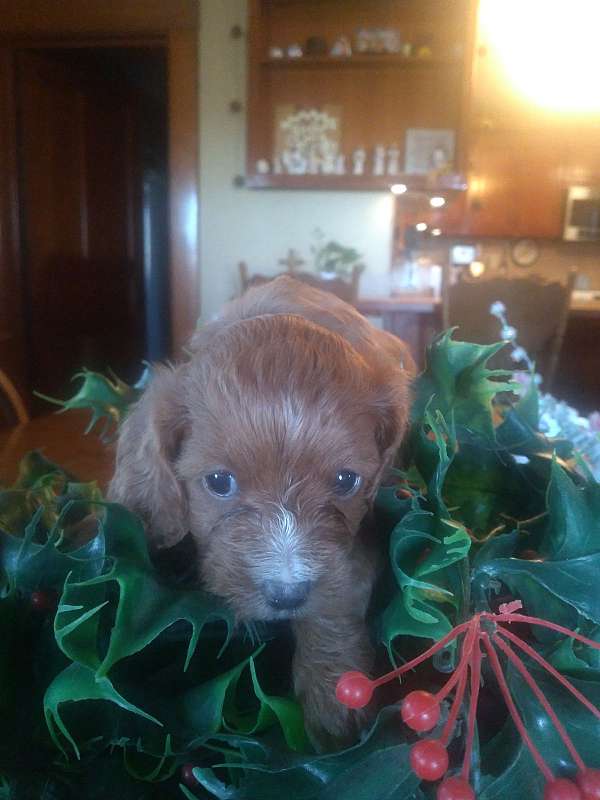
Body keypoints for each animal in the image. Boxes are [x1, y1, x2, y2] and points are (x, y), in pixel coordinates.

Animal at [110, 276, 414, 744]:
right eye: (219, 482)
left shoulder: (358, 541)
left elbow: (335, 596)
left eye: (346, 481)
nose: (287, 594)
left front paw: (332, 697)